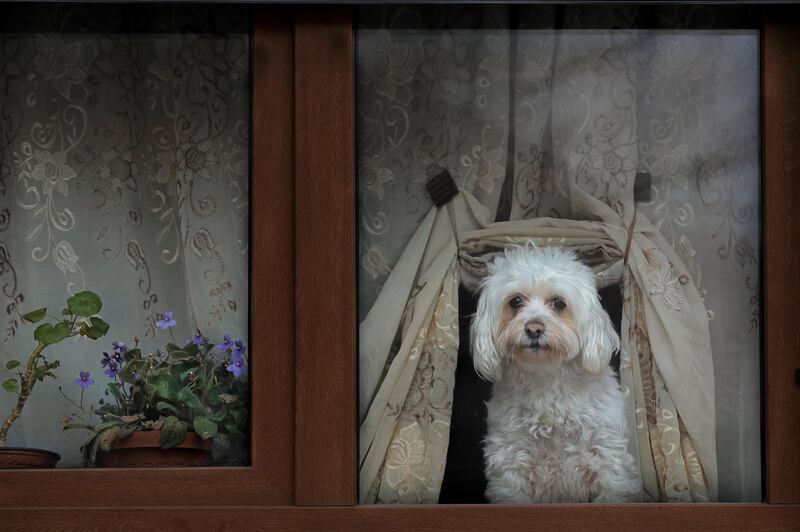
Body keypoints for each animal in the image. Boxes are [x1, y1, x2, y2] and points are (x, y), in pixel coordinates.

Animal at [472, 245, 640, 502]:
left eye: (559, 303)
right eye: (515, 301)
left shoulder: (608, 458)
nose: (533, 328)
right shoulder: (510, 461)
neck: (547, 377)